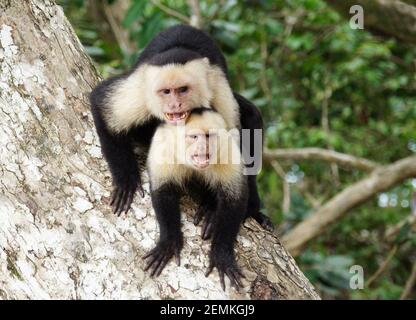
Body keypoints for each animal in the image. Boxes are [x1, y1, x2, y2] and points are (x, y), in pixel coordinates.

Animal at [89, 23, 272, 231]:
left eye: (183, 90)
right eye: (166, 92)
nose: (175, 105)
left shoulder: (218, 90)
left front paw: (211, 206)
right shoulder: (140, 90)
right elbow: (101, 105)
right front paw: (126, 180)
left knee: (251, 116)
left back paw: (254, 211)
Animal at [145, 107, 247, 290]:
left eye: (208, 136)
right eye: (194, 137)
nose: (202, 146)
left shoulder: (228, 150)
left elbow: (233, 200)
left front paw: (221, 255)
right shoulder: (163, 148)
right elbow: (163, 192)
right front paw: (169, 242)